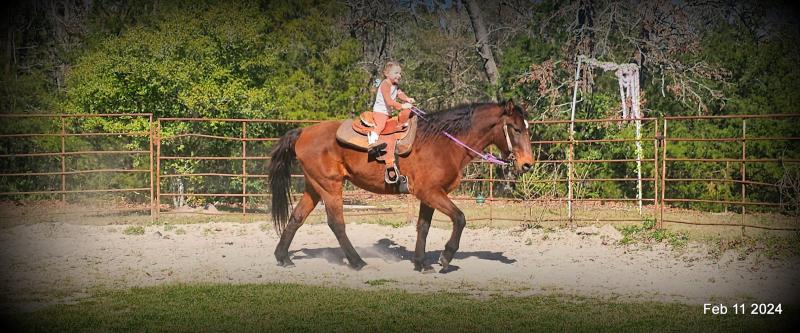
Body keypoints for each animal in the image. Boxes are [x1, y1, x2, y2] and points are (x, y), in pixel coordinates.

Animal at [268, 100, 532, 272]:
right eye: (516, 129)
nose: (528, 164)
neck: (443, 144)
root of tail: (303, 132)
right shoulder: (431, 192)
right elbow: (460, 218)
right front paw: (445, 258)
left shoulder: (430, 195)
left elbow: (423, 227)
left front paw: (421, 263)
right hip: (330, 186)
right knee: (336, 223)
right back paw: (357, 262)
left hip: (314, 187)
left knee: (296, 218)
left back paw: (283, 257)